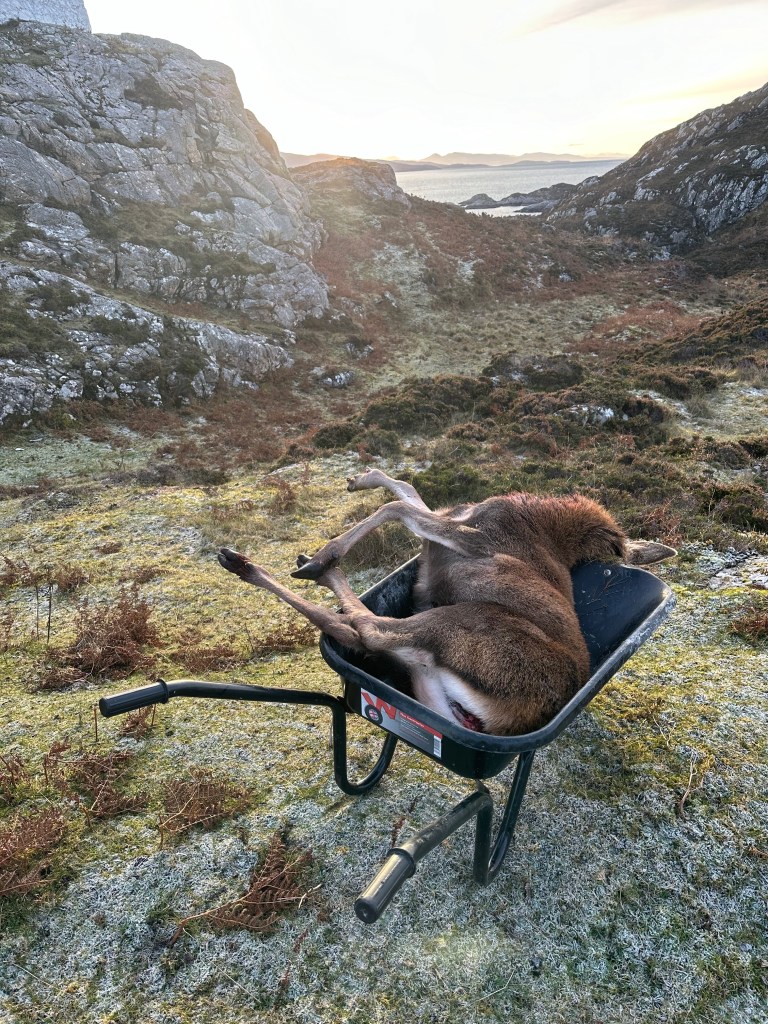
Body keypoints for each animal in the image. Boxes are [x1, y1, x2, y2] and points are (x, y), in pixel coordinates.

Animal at [218, 469, 675, 736]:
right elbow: (408, 492)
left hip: (460, 622)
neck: (553, 523)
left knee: (366, 631)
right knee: (360, 632)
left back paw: (277, 567)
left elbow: (398, 505)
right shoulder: (444, 534)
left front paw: (325, 553)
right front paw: (360, 479)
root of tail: (506, 720)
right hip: (425, 678)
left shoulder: (471, 538)